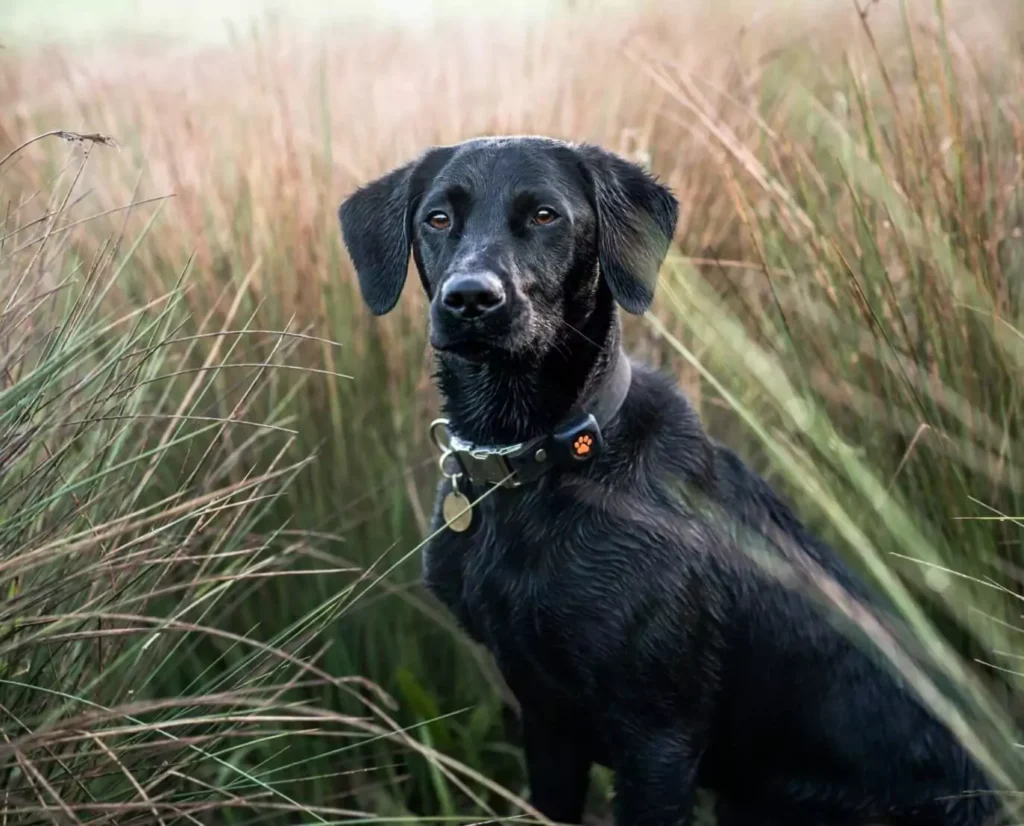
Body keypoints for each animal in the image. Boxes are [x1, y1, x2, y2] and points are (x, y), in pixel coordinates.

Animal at [339, 137, 995, 826]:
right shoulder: (545, 717)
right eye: (437, 219)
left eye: (546, 215)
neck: (534, 465)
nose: (470, 299)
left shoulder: (657, 737)